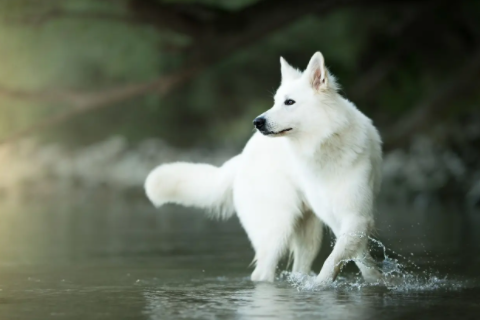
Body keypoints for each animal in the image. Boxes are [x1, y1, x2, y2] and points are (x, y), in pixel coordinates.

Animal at [145, 51, 382, 284]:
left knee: (299, 268)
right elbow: (338, 260)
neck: (325, 143)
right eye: (275, 102)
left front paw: (378, 281)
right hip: (278, 229)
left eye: (289, 102)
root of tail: (242, 157)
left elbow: (351, 258)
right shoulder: (344, 218)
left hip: (308, 234)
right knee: (262, 273)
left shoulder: (355, 217)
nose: (257, 122)